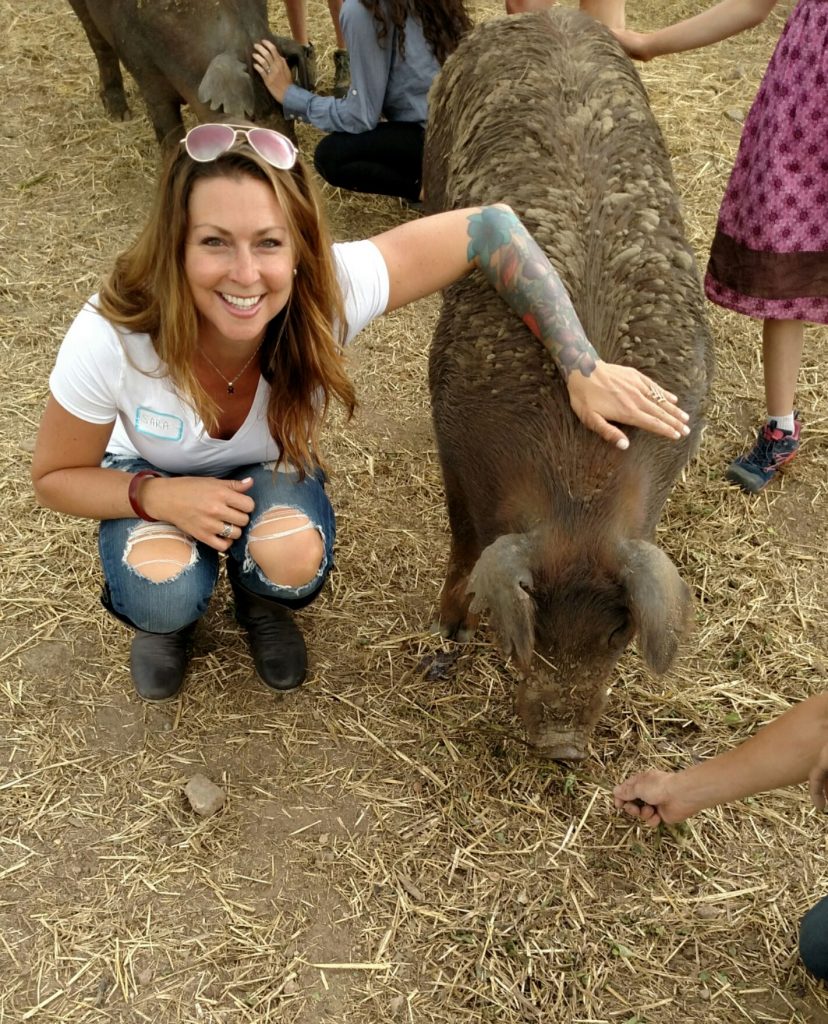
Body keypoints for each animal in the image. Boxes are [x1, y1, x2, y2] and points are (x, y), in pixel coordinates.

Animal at [423, 8, 712, 761]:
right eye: (533, 622)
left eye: (619, 632)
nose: (562, 747)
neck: (580, 491)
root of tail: (546, 14)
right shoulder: (449, 436)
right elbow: (463, 539)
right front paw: (449, 631)